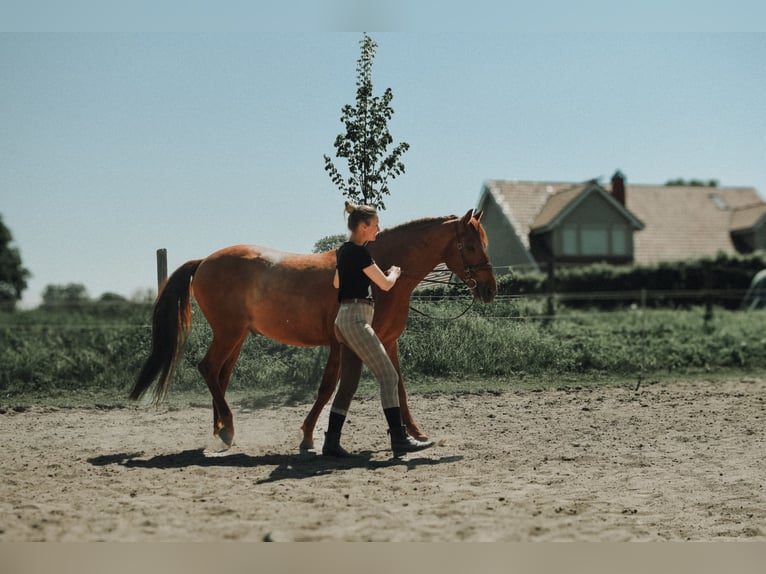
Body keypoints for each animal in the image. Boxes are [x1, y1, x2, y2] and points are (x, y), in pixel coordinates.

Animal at [129, 209, 496, 450]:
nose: (490, 290)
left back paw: (221, 428)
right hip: (229, 333)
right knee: (208, 368)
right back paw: (228, 429)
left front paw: (416, 434)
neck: (379, 273)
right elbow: (328, 388)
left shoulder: (387, 342)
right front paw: (307, 435)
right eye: (471, 246)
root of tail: (204, 261)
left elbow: (399, 387)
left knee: (220, 375)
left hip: (236, 336)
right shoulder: (343, 344)